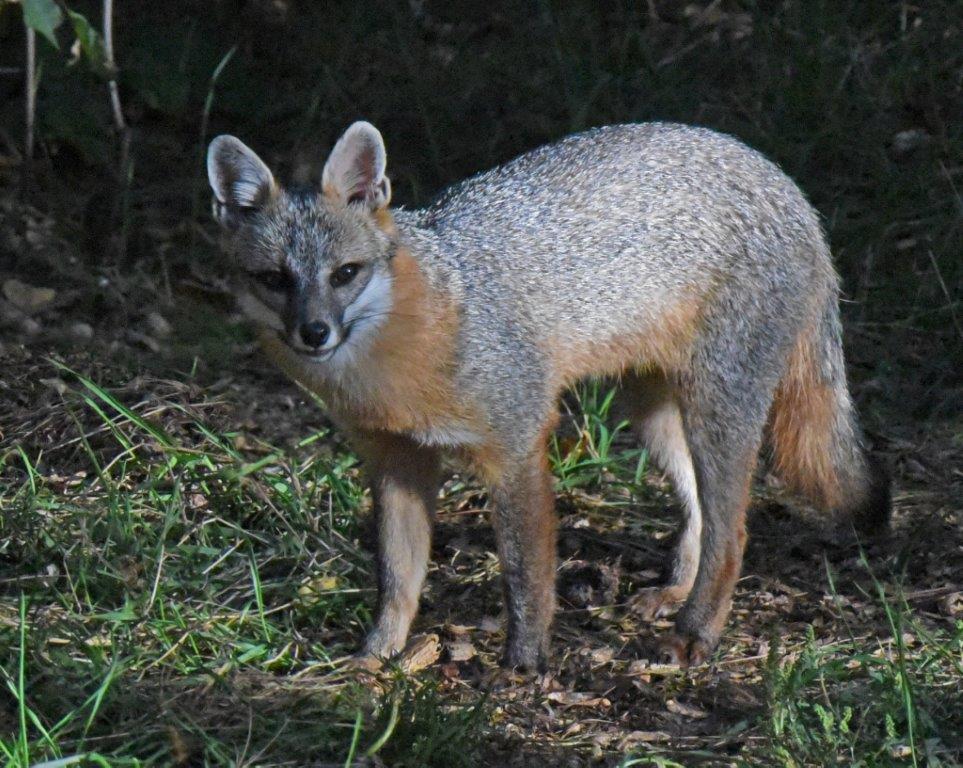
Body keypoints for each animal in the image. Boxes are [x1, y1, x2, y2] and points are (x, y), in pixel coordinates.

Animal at [206, 121, 890, 671]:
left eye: (345, 274)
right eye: (275, 280)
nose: (314, 332)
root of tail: (780, 179)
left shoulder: (517, 445)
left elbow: (525, 573)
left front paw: (525, 661)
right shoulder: (396, 464)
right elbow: (397, 580)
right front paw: (376, 657)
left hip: (716, 413)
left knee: (735, 534)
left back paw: (697, 631)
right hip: (653, 417)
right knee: (699, 510)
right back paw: (677, 593)